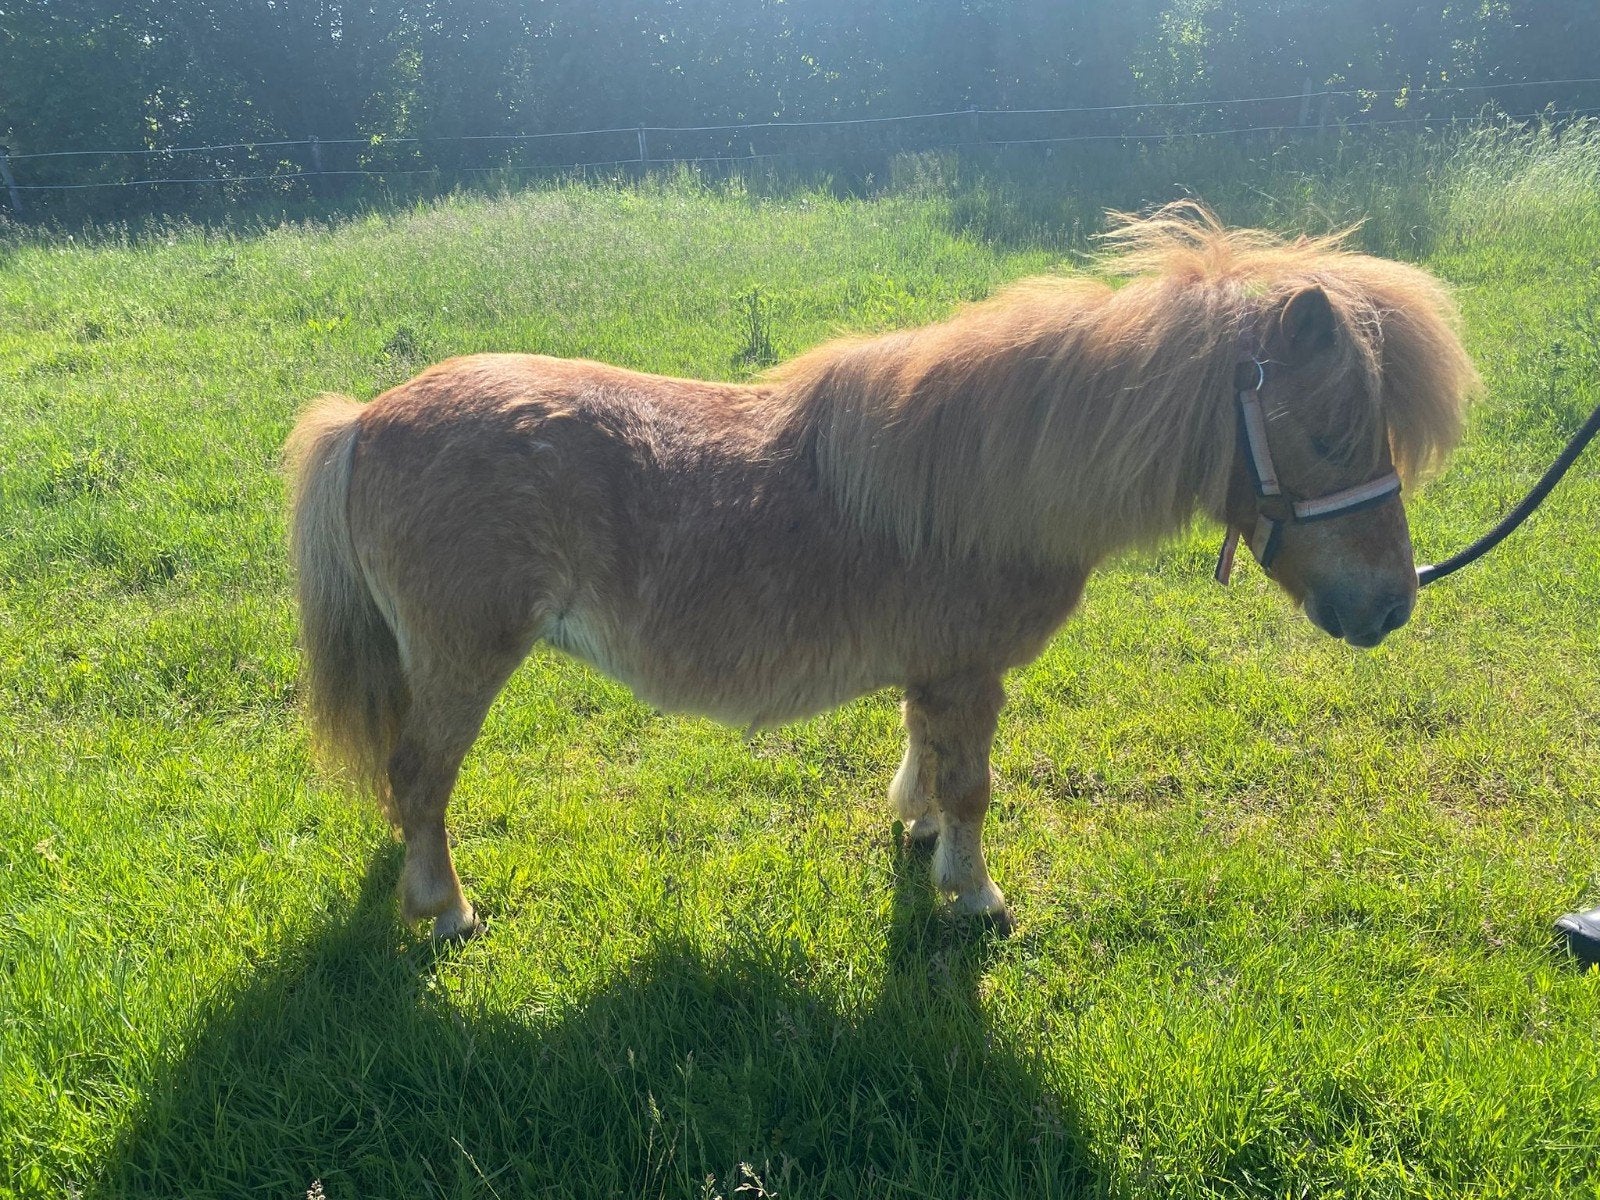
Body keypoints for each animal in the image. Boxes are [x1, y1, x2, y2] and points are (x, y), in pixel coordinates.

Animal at [286, 203, 1479, 940]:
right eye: (1330, 434)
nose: (1391, 603)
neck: (991, 478)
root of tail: (365, 421)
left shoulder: (933, 672)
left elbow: (927, 758)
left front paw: (917, 834)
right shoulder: (968, 672)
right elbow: (972, 782)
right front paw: (974, 894)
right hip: (464, 659)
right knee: (419, 775)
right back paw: (444, 909)